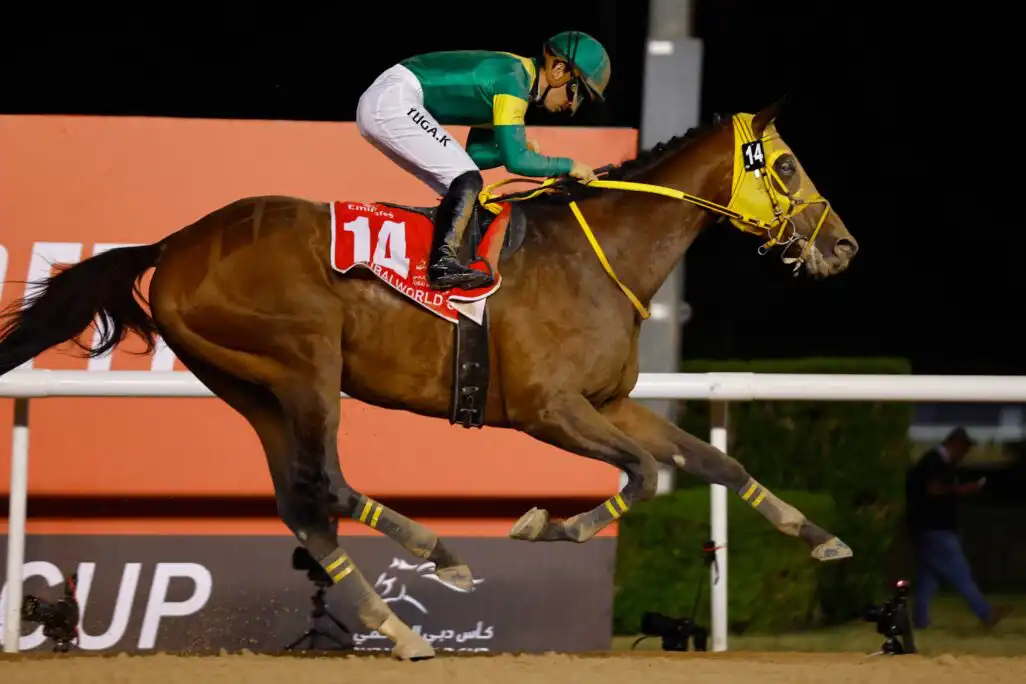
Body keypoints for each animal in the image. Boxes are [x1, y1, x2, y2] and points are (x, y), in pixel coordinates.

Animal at [0, 101, 858, 659]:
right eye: (786, 165)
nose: (843, 246)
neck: (596, 256)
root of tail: (175, 242)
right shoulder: (549, 407)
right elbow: (645, 475)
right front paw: (544, 525)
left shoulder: (609, 401)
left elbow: (714, 460)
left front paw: (820, 536)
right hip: (307, 360)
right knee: (324, 481)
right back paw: (437, 552)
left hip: (250, 384)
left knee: (301, 503)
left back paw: (403, 629)